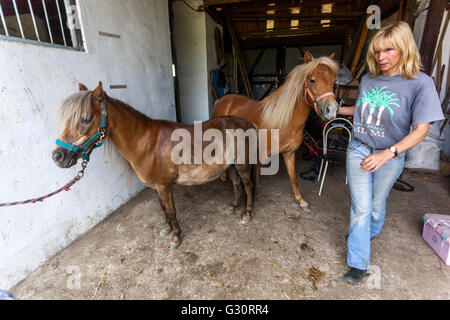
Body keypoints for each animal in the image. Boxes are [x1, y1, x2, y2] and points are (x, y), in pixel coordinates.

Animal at [51, 81, 258, 249]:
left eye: (86, 119)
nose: (58, 156)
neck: (146, 143)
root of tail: (248, 124)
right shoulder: (155, 187)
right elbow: (163, 209)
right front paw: (167, 229)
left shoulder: (164, 186)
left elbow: (172, 211)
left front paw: (176, 237)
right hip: (230, 165)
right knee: (236, 184)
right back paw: (232, 207)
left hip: (242, 165)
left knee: (248, 186)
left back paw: (247, 214)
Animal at [213, 52, 340, 212]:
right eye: (312, 80)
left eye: (334, 81)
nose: (332, 110)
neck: (285, 122)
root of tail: (221, 100)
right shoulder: (261, 157)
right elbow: (255, 182)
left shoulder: (289, 153)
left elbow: (293, 177)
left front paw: (300, 200)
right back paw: (224, 176)